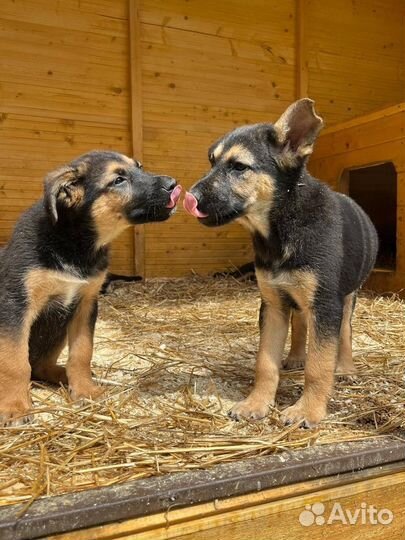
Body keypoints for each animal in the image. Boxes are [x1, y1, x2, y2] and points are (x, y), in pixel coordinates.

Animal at [0, 150, 180, 424]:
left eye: (139, 166)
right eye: (118, 180)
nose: (173, 184)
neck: (74, 244)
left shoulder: (86, 303)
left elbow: (82, 353)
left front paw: (84, 390)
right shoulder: (16, 305)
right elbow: (15, 361)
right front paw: (15, 406)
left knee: (41, 366)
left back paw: (63, 375)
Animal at [185, 96, 378, 426]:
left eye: (239, 167)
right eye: (212, 161)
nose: (186, 197)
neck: (281, 227)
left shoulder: (326, 305)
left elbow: (319, 365)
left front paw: (308, 410)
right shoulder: (273, 304)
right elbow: (265, 363)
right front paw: (256, 404)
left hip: (348, 295)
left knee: (345, 333)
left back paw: (346, 368)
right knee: (300, 324)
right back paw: (296, 356)